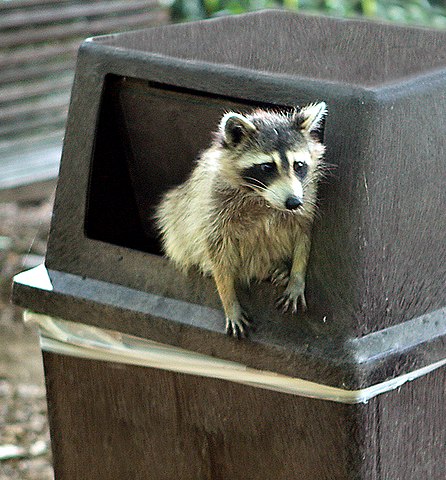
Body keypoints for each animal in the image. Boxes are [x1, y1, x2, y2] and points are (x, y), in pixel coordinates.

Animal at [157, 102, 328, 338]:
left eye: (298, 165)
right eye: (267, 167)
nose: (293, 202)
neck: (263, 199)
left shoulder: (307, 199)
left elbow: (304, 236)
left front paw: (297, 276)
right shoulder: (213, 208)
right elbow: (218, 254)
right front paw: (229, 300)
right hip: (177, 212)